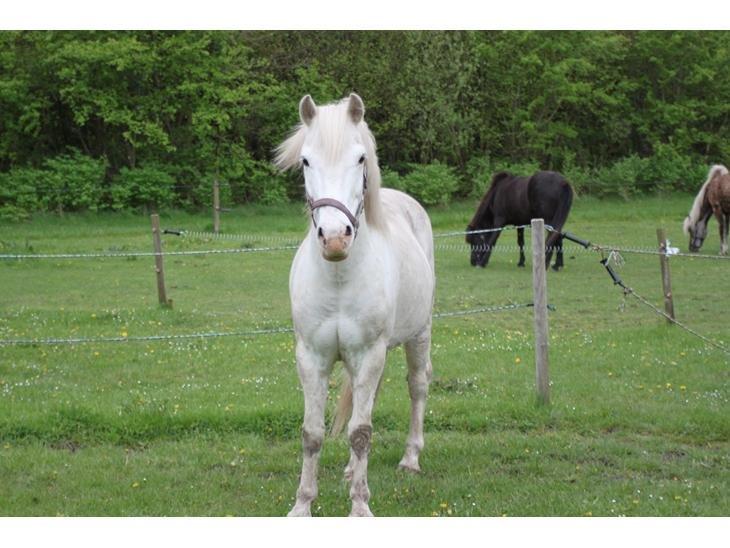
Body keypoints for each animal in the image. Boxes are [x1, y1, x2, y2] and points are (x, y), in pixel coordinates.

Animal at [272, 92, 432, 516]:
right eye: (306, 161)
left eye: (360, 158)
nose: (334, 238)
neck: (339, 278)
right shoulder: (311, 357)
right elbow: (312, 433)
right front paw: (302, 505)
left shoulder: (369, 353)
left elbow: (361, 432)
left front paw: (360, 507)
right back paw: (349, 470)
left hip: (418, 335)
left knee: (417, 387)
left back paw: (411, 458)